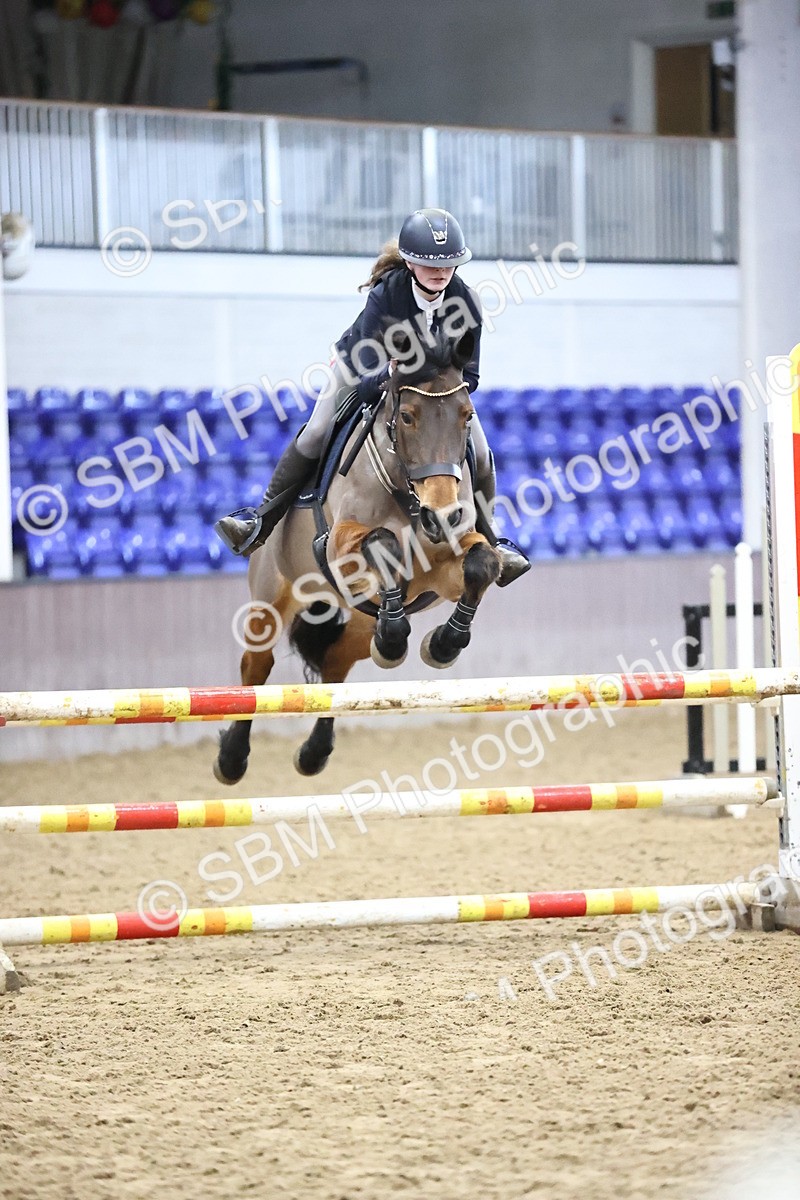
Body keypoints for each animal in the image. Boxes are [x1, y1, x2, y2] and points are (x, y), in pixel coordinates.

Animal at [213, 327, 503, 784]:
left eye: (467, 416)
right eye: (408, 417)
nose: (441, 515)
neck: (408, 496)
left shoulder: (443, 570)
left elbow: (482, 563)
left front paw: (442, 645)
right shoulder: (338, 548)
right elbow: (381, 543)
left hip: (359, 621)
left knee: (336, 665)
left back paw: (316, 750)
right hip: (270, 597)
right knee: (255, 668)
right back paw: (231, 759)